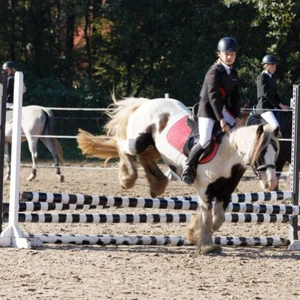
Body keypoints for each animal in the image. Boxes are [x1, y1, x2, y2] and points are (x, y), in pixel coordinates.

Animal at [77, 97, 278, 254]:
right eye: (261, 153)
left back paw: (157, 185)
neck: (227, 154)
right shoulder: (204, 190)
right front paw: (206, 245)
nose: (271, 183)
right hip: (138, 142)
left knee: (145, 157)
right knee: (123, 147)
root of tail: (147, 102)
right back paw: (128, 179)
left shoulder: (225, 193)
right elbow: (207, 217)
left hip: (155, 147)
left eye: (275, 151)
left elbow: (217, 218)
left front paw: (194, 234)